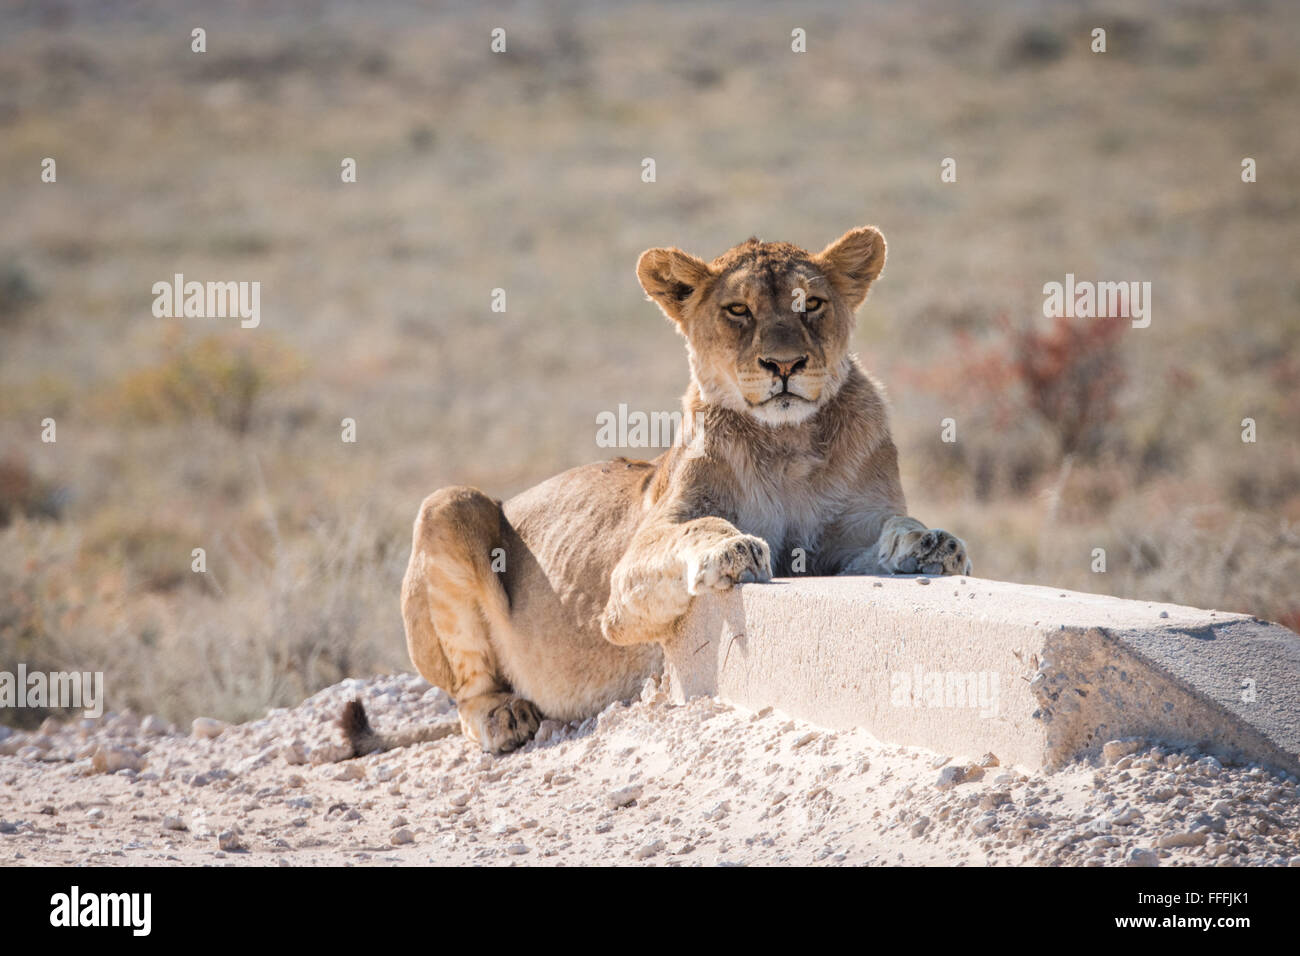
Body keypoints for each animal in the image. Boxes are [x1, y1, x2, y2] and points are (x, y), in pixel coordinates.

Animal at [342, 225, 971, 756]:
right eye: (738, 310)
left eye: (810, 305)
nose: (785, 364)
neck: (788, 442)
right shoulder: (625, 586)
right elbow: (699, 528)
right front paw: (731, 548)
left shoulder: (845, 539)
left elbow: (893, 528)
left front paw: (933, 545)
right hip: (449, 504)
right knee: (466, 691)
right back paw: (504, 717)